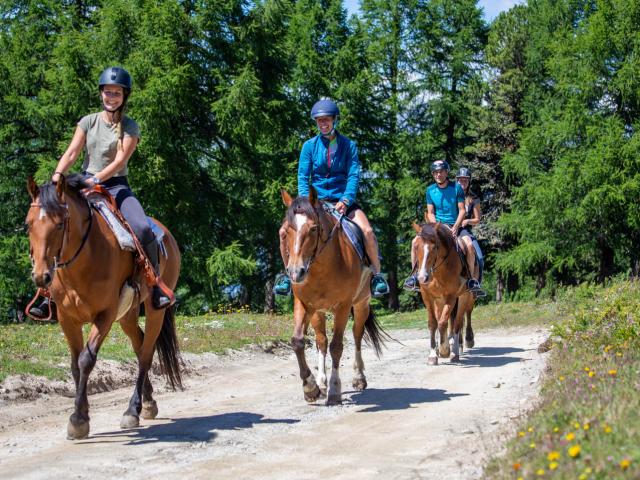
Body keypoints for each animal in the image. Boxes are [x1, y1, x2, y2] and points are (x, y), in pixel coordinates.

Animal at [25, 175, 180, 438]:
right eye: (28, 225)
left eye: (59, 224)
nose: (40, 276)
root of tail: (166, 233)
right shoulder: (67, 319)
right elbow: (75, 366)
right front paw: (83, 413)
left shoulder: (105, 315)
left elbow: (86, 360)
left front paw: (78, 420)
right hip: (127, 315)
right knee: (139, 345)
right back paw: (148, 402)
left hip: (154, 311)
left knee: (146, 354)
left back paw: (132, 410)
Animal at [280, 188, 384, 404]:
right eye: (286, 231)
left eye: (313, 229)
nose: (295, 273)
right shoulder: (303, 303)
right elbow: (298, 341)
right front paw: (310, 387)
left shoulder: (343, 307)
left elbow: (337, 346)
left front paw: (335, 390)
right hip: (317, 312)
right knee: (321, 341)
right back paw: (321, 382)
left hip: (361, 305)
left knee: (357, 335)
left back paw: (359, 378)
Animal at [410, 223, 476, 366]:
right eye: (416, 246)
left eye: (434, 247)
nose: (422, 277)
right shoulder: (428, 297)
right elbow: (433, 323)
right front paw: (433, 355)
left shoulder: (451, 296)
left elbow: (443, 322)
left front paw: (445, 350)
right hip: (439, 301)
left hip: (464, 297)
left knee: (460, 321)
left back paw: (458, 348)